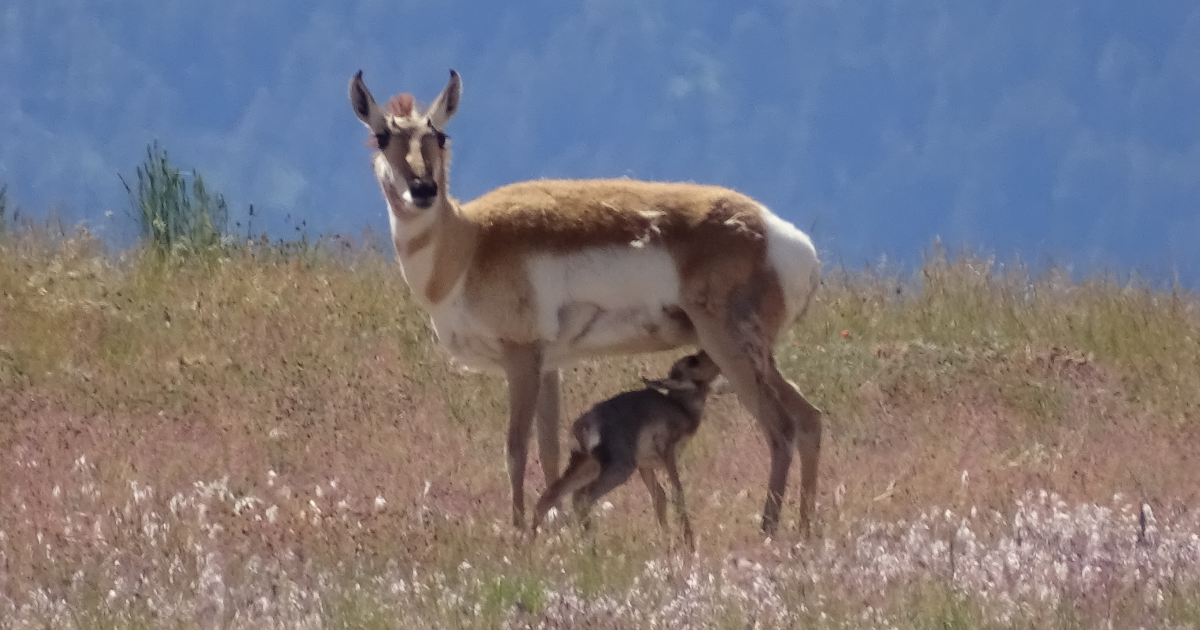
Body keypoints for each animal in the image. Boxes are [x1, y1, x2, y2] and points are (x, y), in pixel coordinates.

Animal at [530, 351, 722, 551]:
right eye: (693, 361)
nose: (705, 352)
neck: (680, 407)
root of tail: (584, 425)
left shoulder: (645, 466)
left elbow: (659, 498)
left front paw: (668, 544)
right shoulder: (667, 455)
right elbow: (677, 495)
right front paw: (689, 546)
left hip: (586, 467)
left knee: (550, 496)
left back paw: (530, 548)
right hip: (618, 470)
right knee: (582, 498)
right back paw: (590, 548)